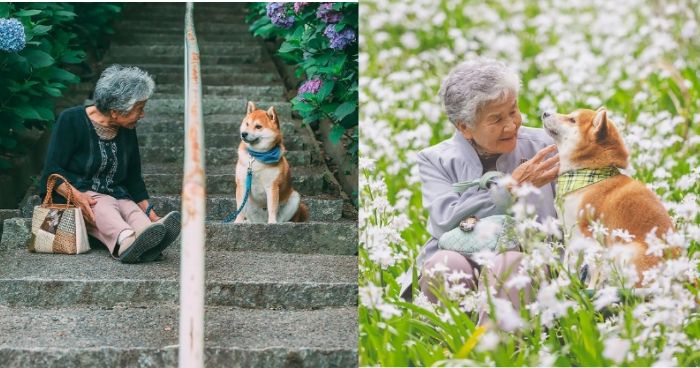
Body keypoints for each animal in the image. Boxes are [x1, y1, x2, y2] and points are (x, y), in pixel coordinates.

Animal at [540, 108, 680, 286]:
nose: (545, 112)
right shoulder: (572, 235)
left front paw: (587, 290)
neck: (586, 174)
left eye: (572, 120)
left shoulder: (589, 236)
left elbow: (591, 270)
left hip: (627, 251)